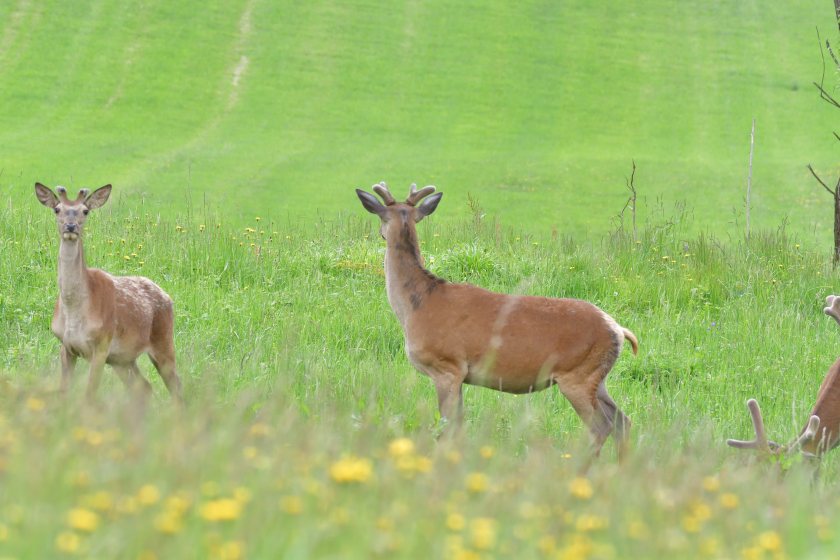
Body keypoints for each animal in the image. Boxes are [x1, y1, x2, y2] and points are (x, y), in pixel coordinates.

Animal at [35, 183, 183, 404]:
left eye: (85, 211)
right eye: (57, 209)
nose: (71, 227)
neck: (74, 310)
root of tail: (167, 296)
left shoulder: (101, 344)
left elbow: (89, 394)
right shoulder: (65, 346)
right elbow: (63, 392)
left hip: (163, 340)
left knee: (176, 387)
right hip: (122, 358)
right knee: (143, 388)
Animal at [356, 182, 639, 459]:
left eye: (381, 218)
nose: (381, 234)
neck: (418, 305)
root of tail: (618, 330)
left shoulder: (446, 366)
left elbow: (447, 428)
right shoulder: (460, 374)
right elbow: (459, 426)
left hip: (577, 375)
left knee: (601, 426)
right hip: (597, 377)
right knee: (623, 421)